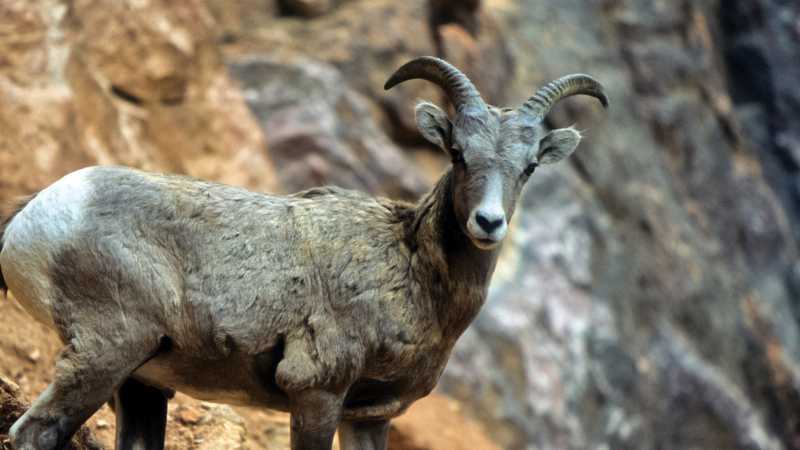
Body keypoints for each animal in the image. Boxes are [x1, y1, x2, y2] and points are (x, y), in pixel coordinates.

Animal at [0, 56, 607, 450]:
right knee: (33, 434)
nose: (488, 223)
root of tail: (37, 212)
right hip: (105, 354)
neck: (414, 278)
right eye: (457, 152)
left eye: (529, 167)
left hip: (141, 384)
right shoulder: (317, 393)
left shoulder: (369, 417)